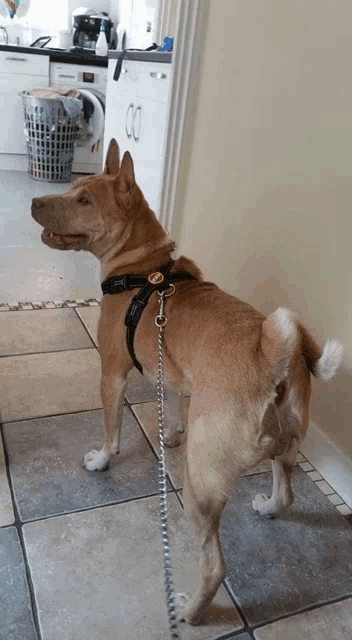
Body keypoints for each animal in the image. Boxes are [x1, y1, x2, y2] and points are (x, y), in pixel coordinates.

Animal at [32, 139, 340, 624]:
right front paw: (171, 435)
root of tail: (273, 355)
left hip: (203, 484)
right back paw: (269, 507)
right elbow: (176, 404)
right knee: (287, 494)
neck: (145, 269)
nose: (33, 203)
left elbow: (112, 429)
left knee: (214, 566)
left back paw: (191, 612)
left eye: (84, 200)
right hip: (286, 447)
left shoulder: (112, 374)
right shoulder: (176, 374)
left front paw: (102, 460)